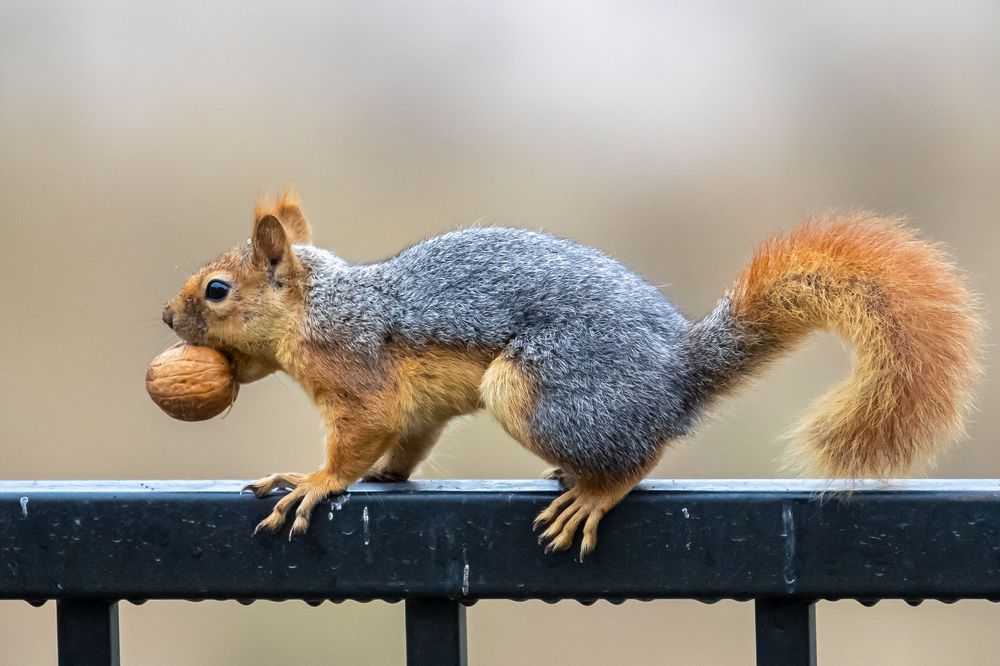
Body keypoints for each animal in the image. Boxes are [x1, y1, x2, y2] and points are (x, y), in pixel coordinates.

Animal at [164, 189, 984, 556]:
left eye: (217, 291)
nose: (168, 320)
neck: (319, 309)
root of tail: (675, 379)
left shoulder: (358, 376)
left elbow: (354, 442)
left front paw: (312, 482)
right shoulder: (415, 411)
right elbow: (409, 444)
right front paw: (382, 477)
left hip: (537, 391)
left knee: (638, 458)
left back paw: (593, 492)